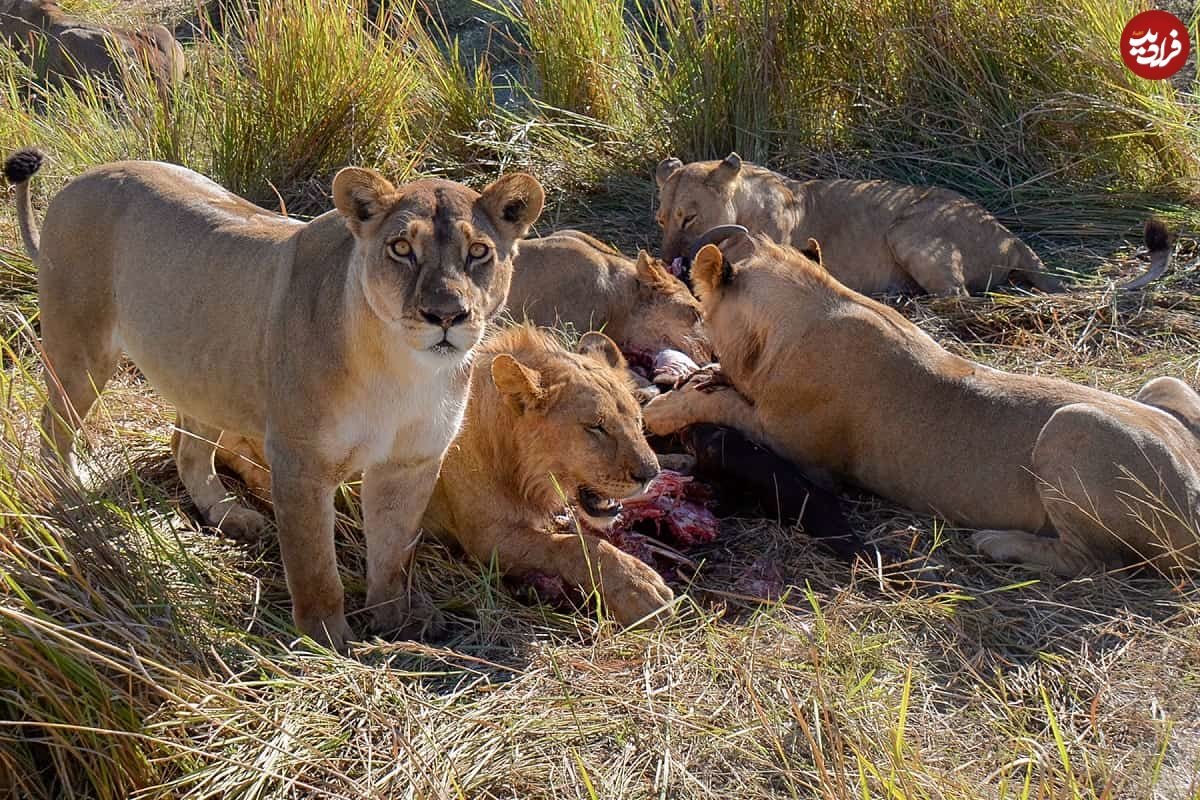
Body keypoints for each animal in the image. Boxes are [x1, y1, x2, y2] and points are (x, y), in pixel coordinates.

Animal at [182, 326, 681, 633]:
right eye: (595, 427)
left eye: (637, 420)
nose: (650, 474)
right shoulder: (488, 539)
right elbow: (580, 546)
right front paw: (643, 587)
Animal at [648, 227, 1200, 578]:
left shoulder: (798, 447)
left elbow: (723, 406)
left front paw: (663, 409)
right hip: (1165, 382)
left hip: (1074, 425)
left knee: (1096, 562)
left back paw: (999, 544)